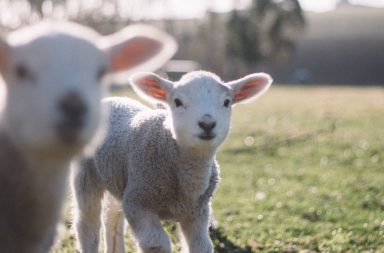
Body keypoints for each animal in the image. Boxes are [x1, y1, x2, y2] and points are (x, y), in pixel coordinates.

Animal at [71, 69, 270, 253]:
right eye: (178, 102)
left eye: (227, 102)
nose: (207, 124)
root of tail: (112, 99)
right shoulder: (138, 202)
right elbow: (156, 244)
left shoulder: (198, 212)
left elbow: (202, 246)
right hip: (86, 174)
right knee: (87, 222)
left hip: (119, 178)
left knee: (112, 217)